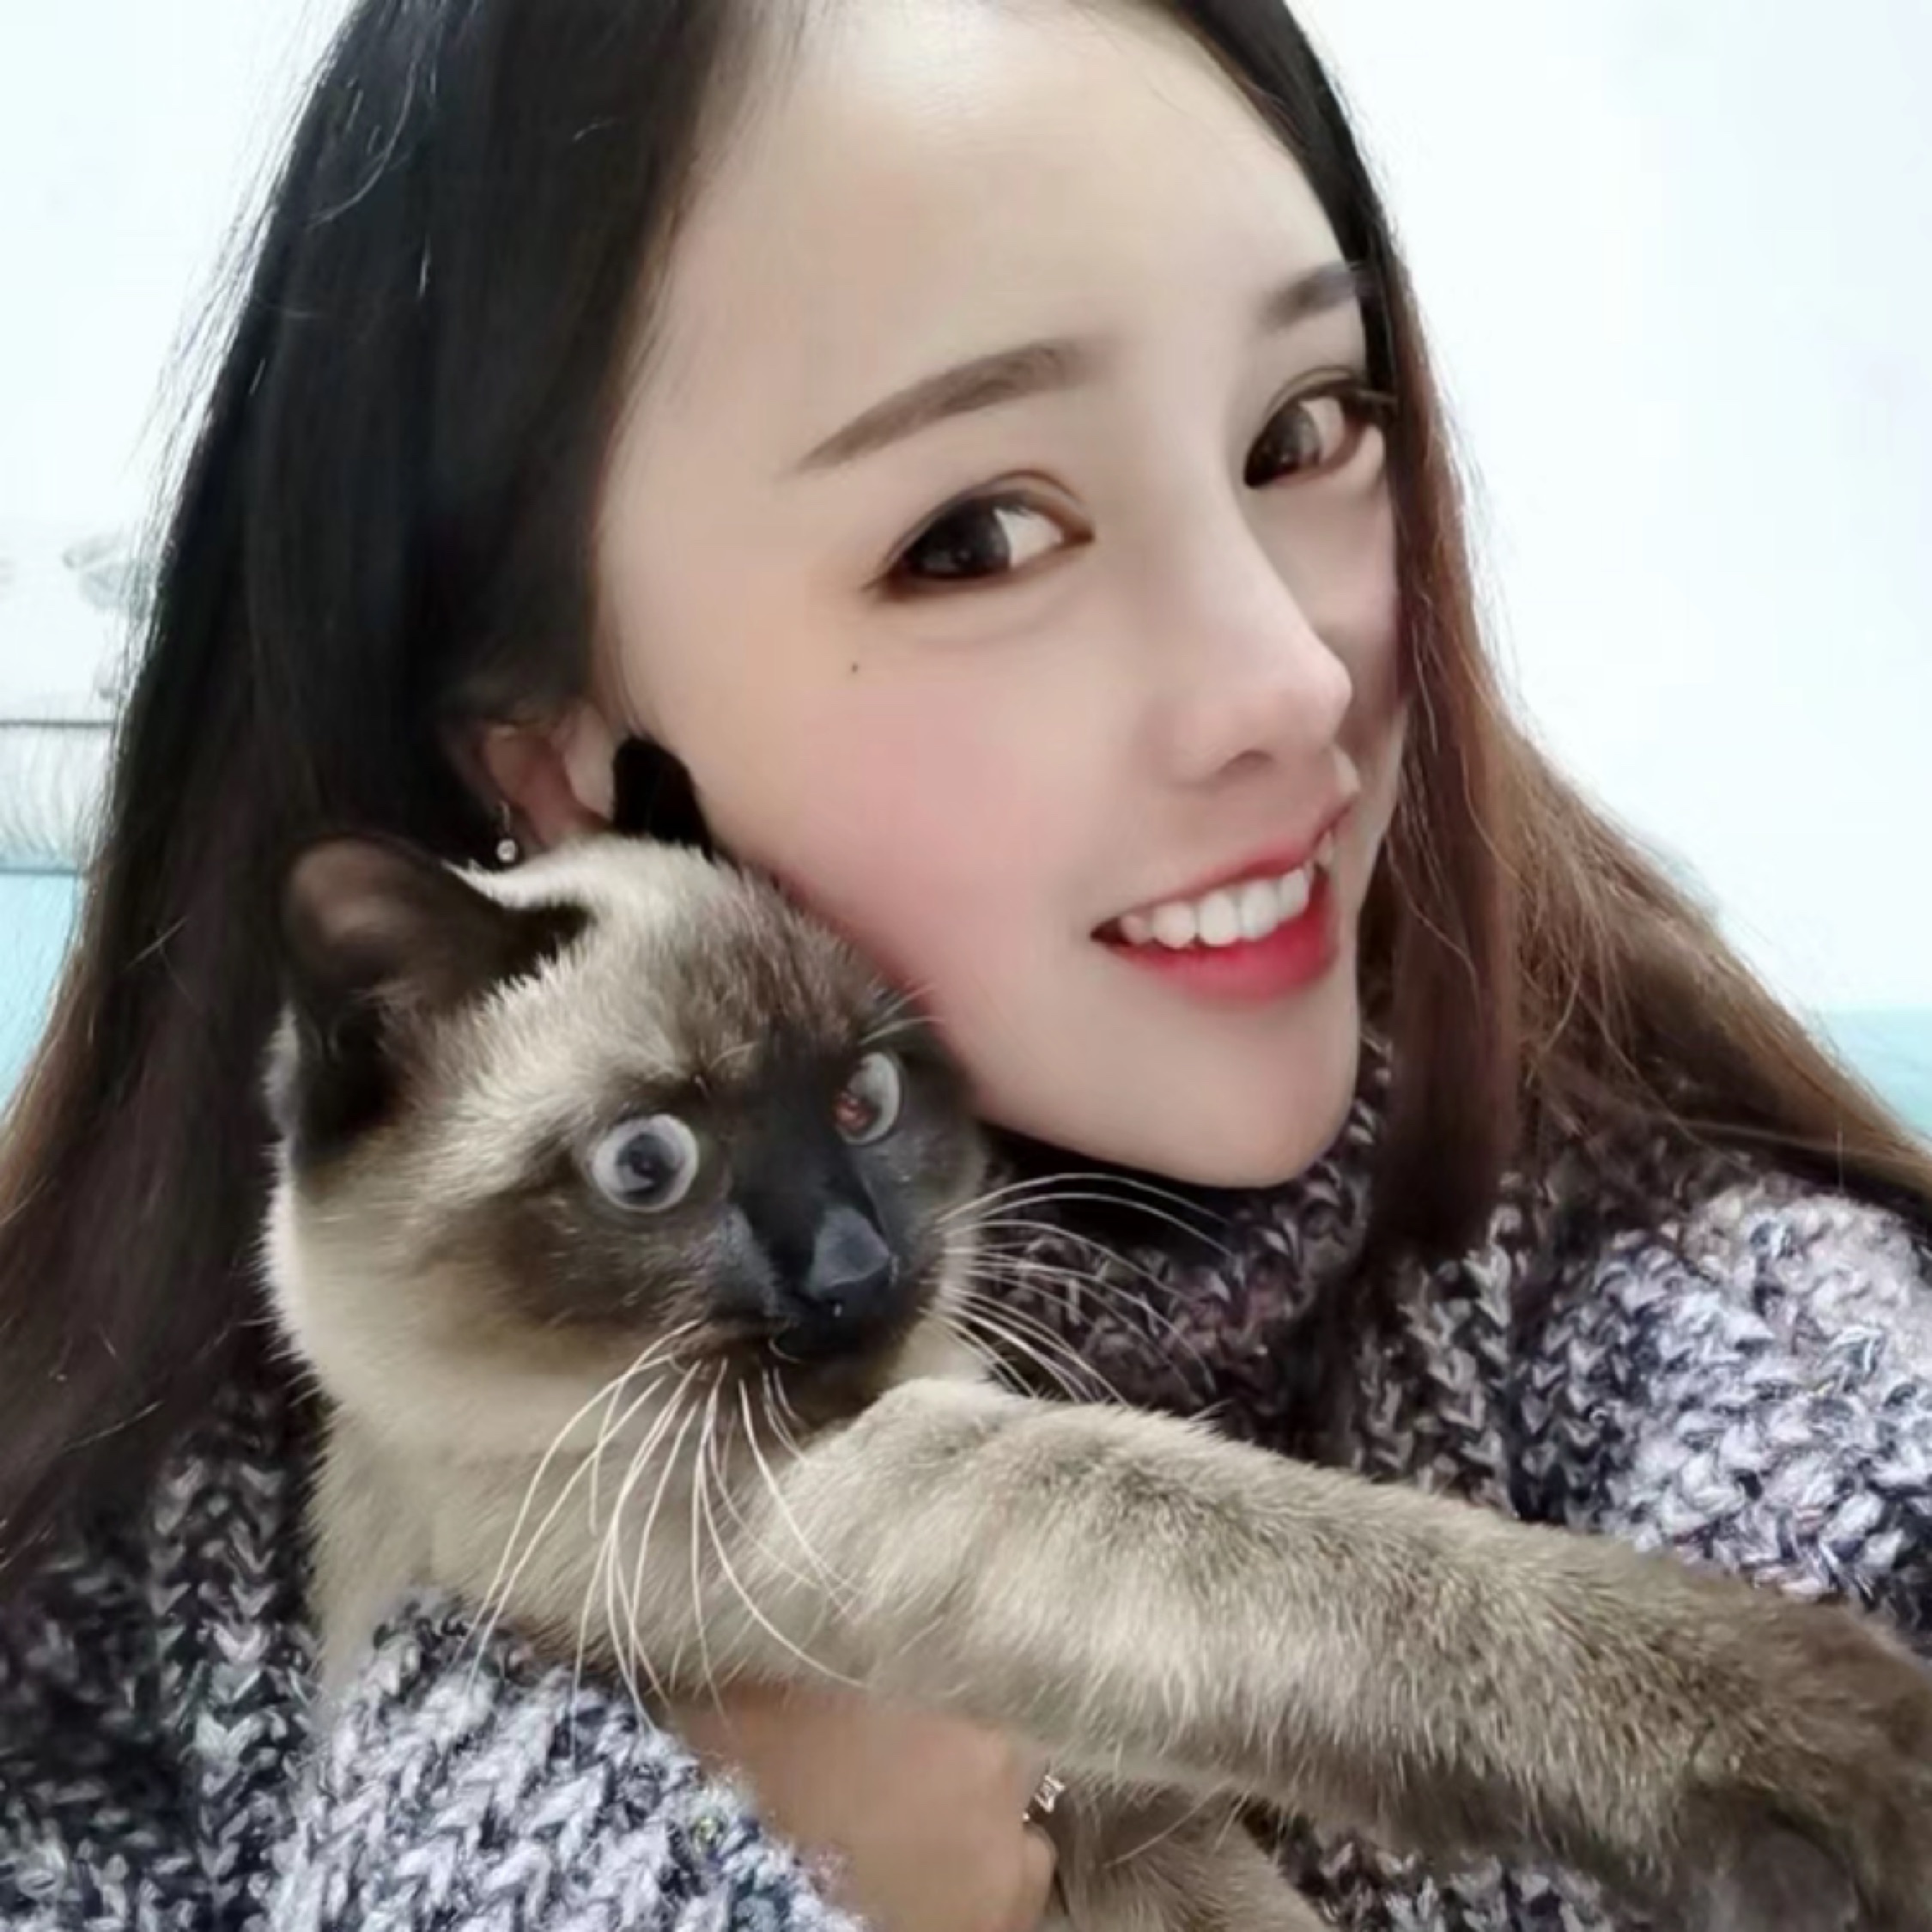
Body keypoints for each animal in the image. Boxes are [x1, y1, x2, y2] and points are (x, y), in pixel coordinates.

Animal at [260, 830, 1932, 1932]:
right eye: (647, 1166)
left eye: (867, 1101)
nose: (857, 1273)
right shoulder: (758, 1503)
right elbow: (1256, 1537)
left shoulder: (1147, 1829)